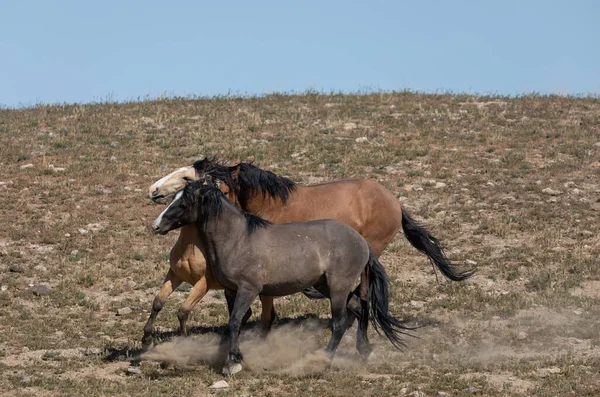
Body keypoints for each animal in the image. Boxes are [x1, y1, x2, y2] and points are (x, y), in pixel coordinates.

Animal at [152, 176, 414, 374]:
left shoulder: (249, 289)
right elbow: (232, 323)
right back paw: (365, 350)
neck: (238, 238)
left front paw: (234, 361)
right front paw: (224, 355)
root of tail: (361, 242)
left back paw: (323, 360)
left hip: (338, 288)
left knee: (340, 322)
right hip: (326, 286)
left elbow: (236, 321)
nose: (157, 225)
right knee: (359, 308)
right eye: (173, 198)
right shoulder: (231, 290)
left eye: (184, 202)